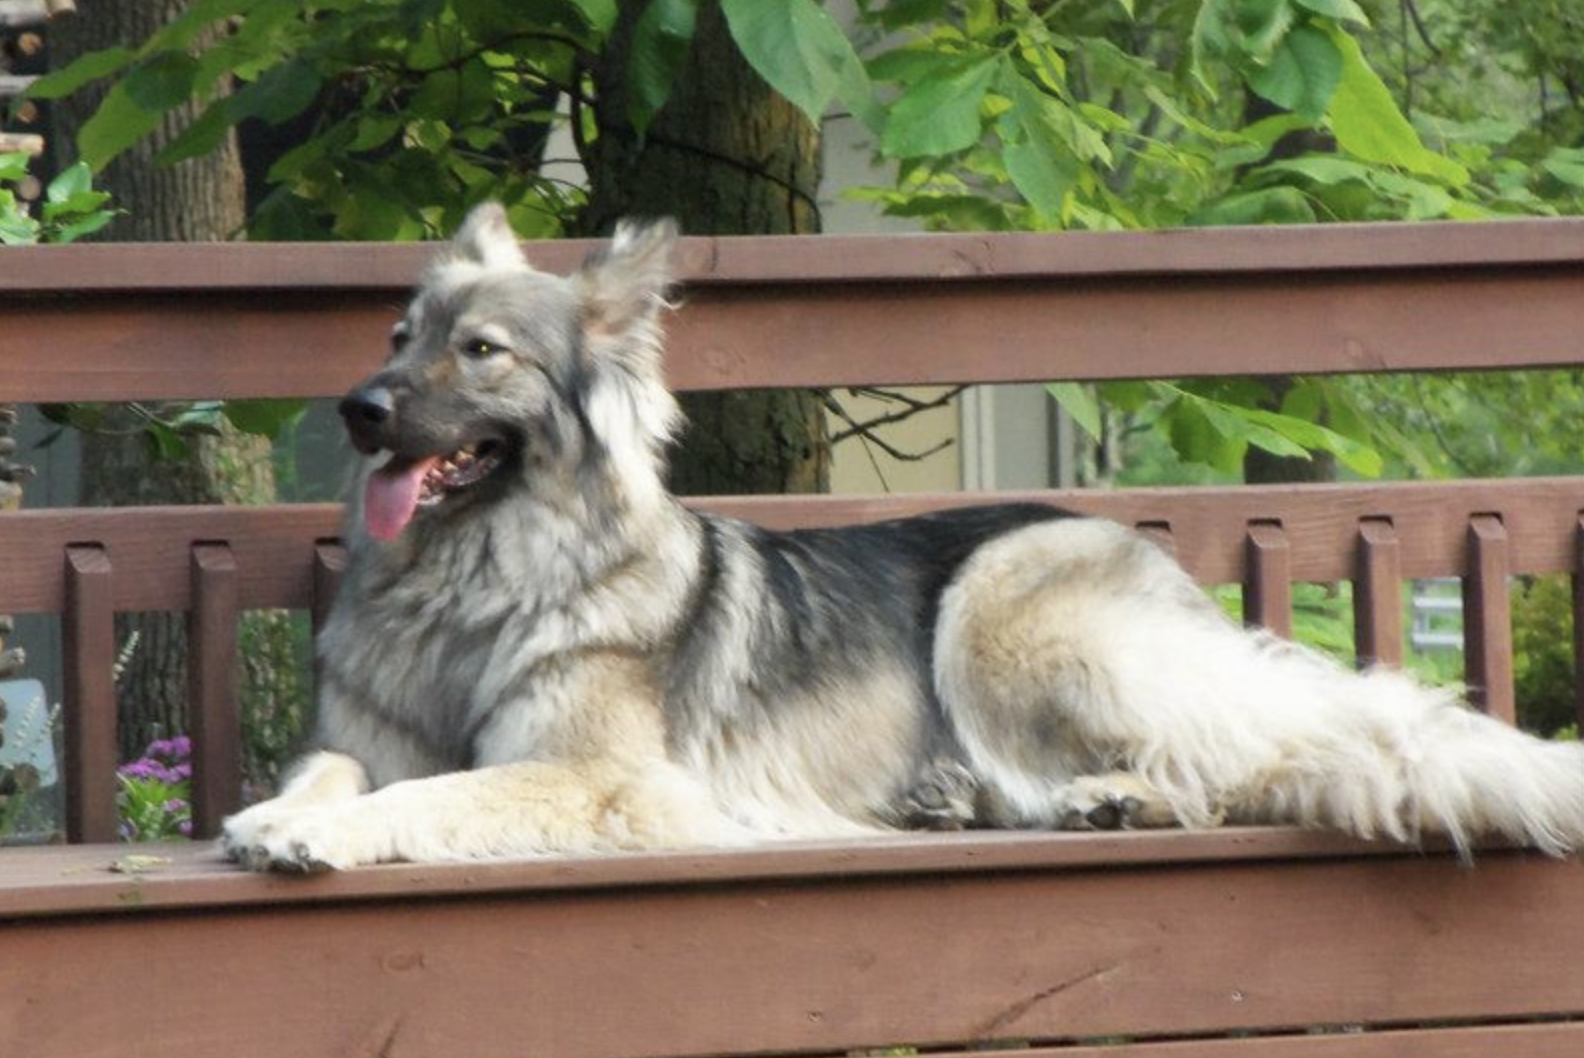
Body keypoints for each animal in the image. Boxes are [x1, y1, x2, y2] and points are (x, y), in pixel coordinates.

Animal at [220, 202, 1584, 874]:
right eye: (398, 336)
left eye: (480, 350)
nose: (358, 410)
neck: (478, 574)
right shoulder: (360, 735)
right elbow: (337, 769)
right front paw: (280, 812)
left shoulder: (602, 776)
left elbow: (440, 790)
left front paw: (317, 835)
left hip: (1005, 615)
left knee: (1262, 752)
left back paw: (1114, 795)